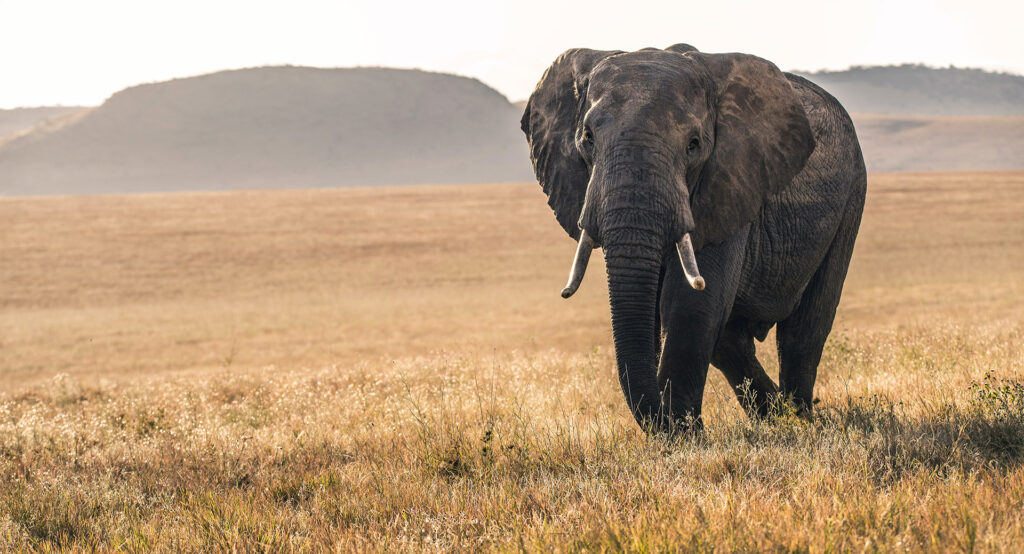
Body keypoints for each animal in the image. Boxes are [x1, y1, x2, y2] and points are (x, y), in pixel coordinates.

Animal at [520, 44, 866, 433]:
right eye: (587, 138)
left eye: (694, 144)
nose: (665, 422)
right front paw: (680, 432)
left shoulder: (730, 180)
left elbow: (690, 305)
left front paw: (684, 437)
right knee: (731, 341)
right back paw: (775, 418)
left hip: (852, 193)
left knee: (804, 330)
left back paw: (800, 421)